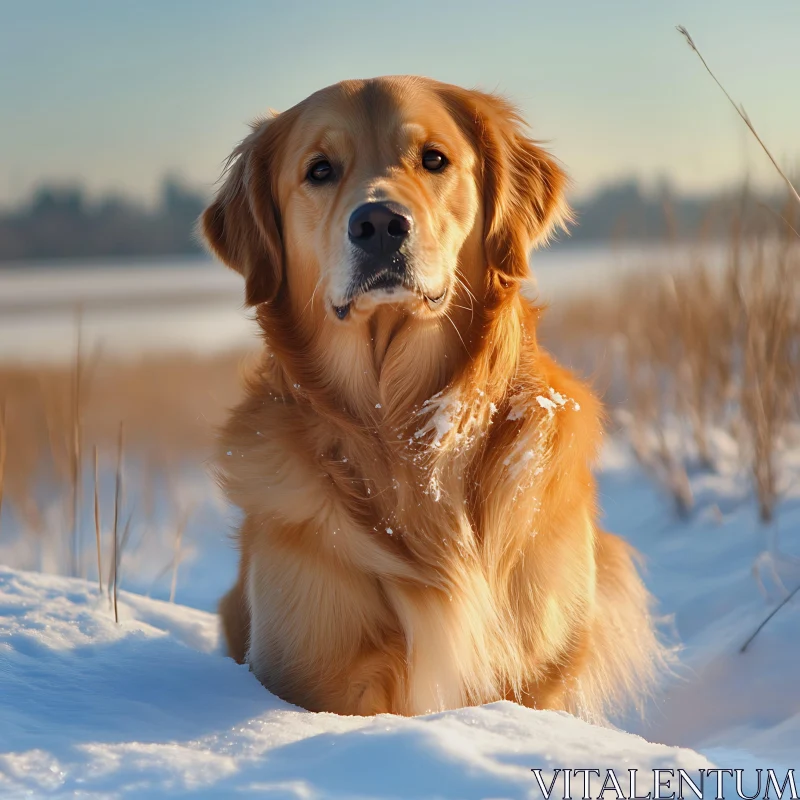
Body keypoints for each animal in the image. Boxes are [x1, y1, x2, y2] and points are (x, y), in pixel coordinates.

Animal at [202, 78, 664, 720]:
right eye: (320, 170)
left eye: (434, 159)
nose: (378, 223)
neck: (404, 428)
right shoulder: (314, 671)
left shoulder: (537, 671)